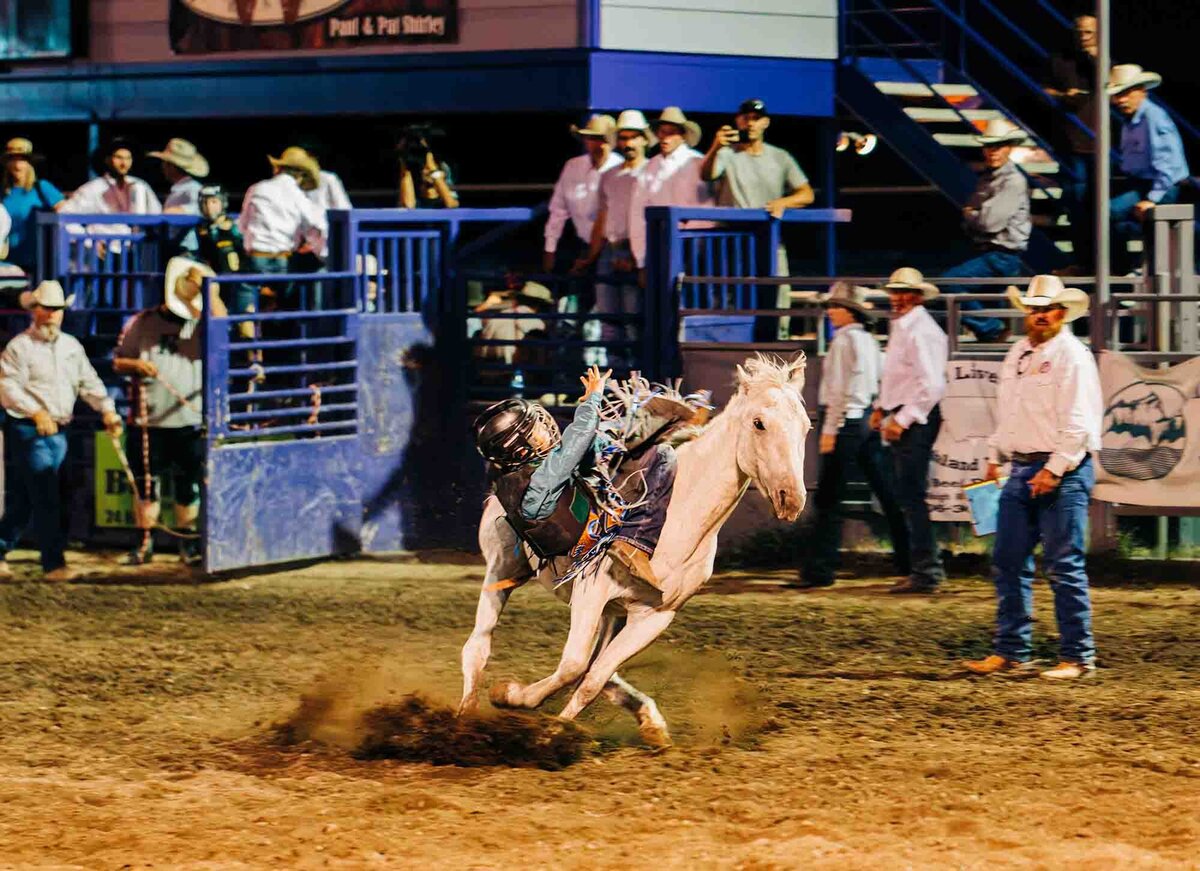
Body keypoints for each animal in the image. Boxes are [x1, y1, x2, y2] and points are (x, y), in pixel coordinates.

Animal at [453, 355, 811, 743]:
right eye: (759, 423)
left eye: (806, 427)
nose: (791, 499)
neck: (679, 517)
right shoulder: (591, 592)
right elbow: (574, 665)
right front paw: (514, 698)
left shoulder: (656, 615)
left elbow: (593, 677)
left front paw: (554, 726)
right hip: (502, 566)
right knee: (478, 646)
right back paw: (466, 714)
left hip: (613, 612)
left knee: (599, 668)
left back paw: (647, 718)